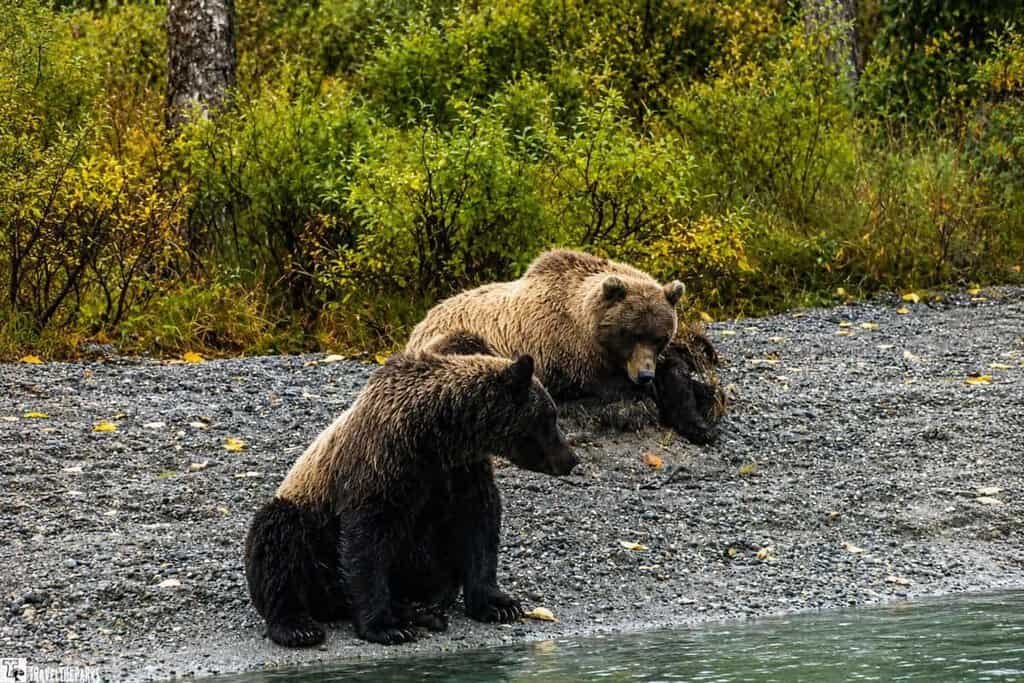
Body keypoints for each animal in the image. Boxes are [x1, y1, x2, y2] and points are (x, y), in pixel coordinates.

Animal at [244, 342, 578, 648]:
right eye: (550, 417)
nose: (571, 458)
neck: (436, 434)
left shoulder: (458, 473)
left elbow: (479, 526)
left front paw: (499, 604)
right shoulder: (382, 464)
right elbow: (366, 541)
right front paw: (386, 627)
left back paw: (422, 610)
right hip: (309, 529)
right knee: (279, 541)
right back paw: (298, 626)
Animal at [405, 249, 723, 444]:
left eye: (659, 337)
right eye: (632, 334)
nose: (644, 374)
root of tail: (421, 322)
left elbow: (677, 373)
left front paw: (699, 410)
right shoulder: (570, 354)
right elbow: (613, 386)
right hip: (459, 340)